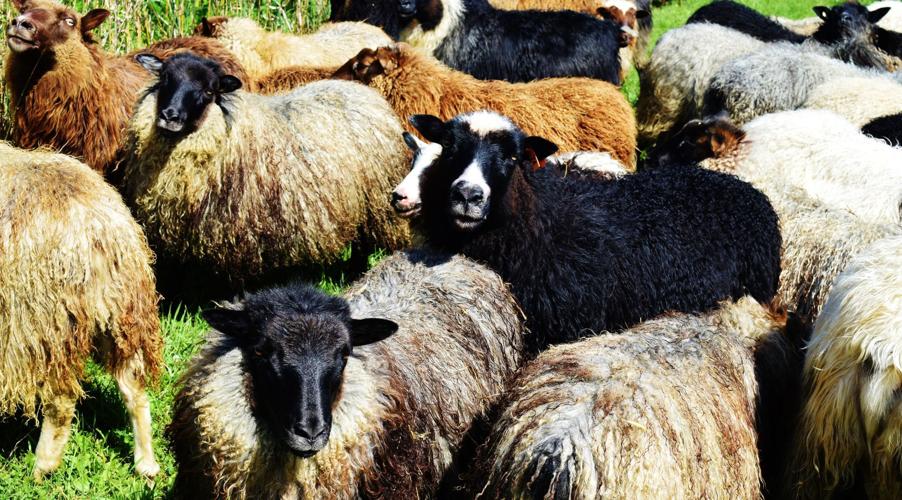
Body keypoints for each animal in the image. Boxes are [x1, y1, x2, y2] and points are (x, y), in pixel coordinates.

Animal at [0, 142, 162, 480]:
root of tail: (97, 227)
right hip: (116, 317)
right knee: (134, 389)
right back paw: (146, 465)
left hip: (45, 323)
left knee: (61, 402)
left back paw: (42, 468)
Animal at [123, 53, 411, 285]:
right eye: (164, 79)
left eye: (209, 91)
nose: (169, 116)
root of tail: (364, 92)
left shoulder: (239, 230)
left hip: (375, 201)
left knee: (364, 244)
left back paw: (354, 274)